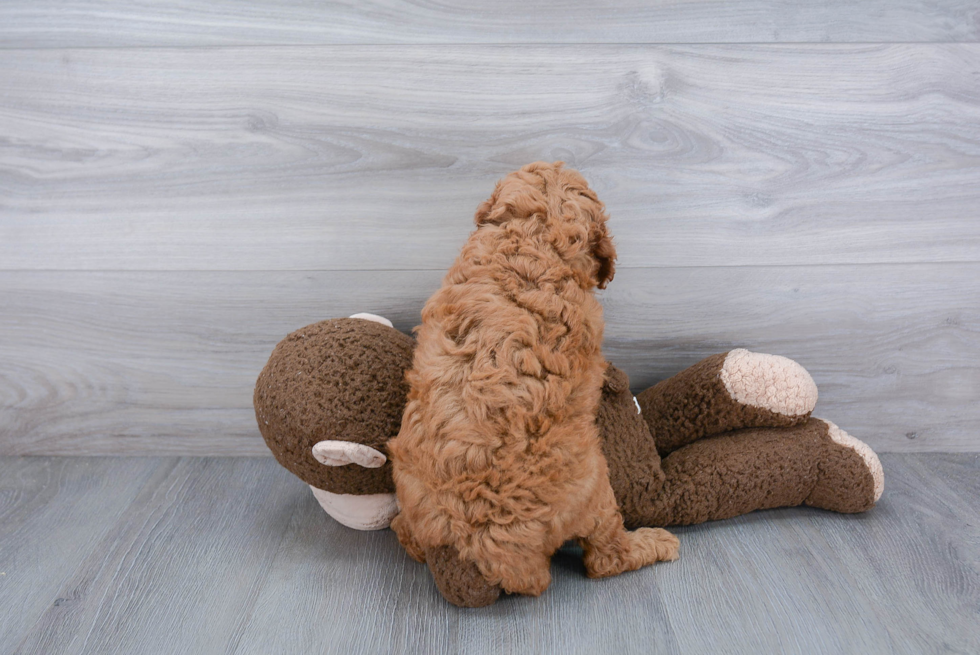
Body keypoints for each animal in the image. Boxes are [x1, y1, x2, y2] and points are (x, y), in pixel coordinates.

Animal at [386, 161, 676, 596]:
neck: (533, 233)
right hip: (595, 488)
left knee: (407, 533)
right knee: (605, 558)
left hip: (408, 484)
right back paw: (656, 542)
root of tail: (484, 551)